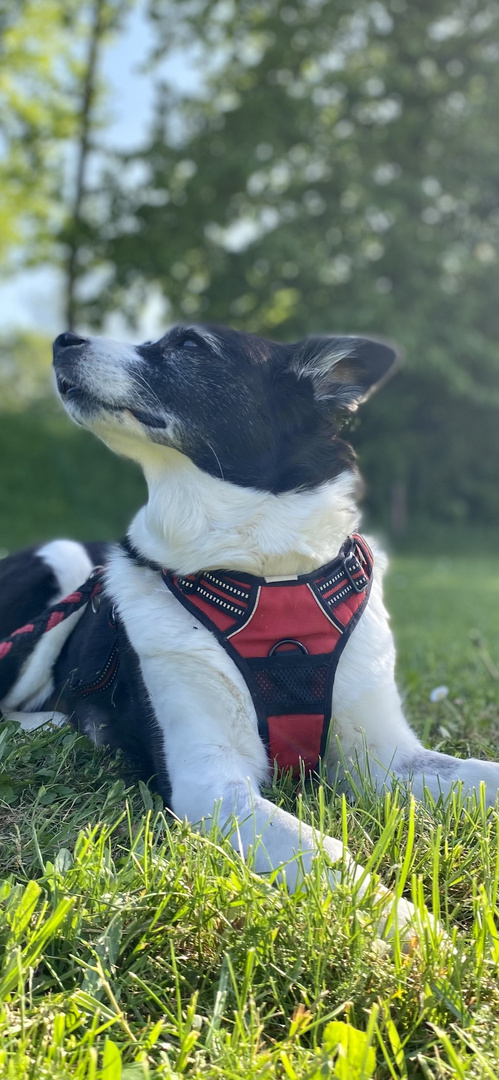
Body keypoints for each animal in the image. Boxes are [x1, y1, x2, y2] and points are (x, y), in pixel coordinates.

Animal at [0, 324, 496, 933]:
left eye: (190, 345)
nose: (62, 340)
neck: (265, 572)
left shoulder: (384, 758)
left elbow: (481, 773)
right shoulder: (211, 782)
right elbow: (323, 851)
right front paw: (413, 930)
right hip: (62, 565)